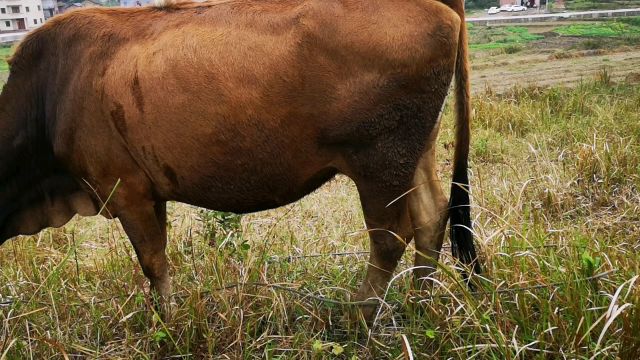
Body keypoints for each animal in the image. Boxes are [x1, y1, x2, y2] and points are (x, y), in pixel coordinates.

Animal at [0, 0, 478, 320]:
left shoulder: (126, 190)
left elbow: (153, 263)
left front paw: (168, 325)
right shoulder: (149, 191)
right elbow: (159, 259)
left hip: (379, 160)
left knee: (390, 237)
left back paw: (359, 316)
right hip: (416, 151)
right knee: (431, 217)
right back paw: (419, 301)